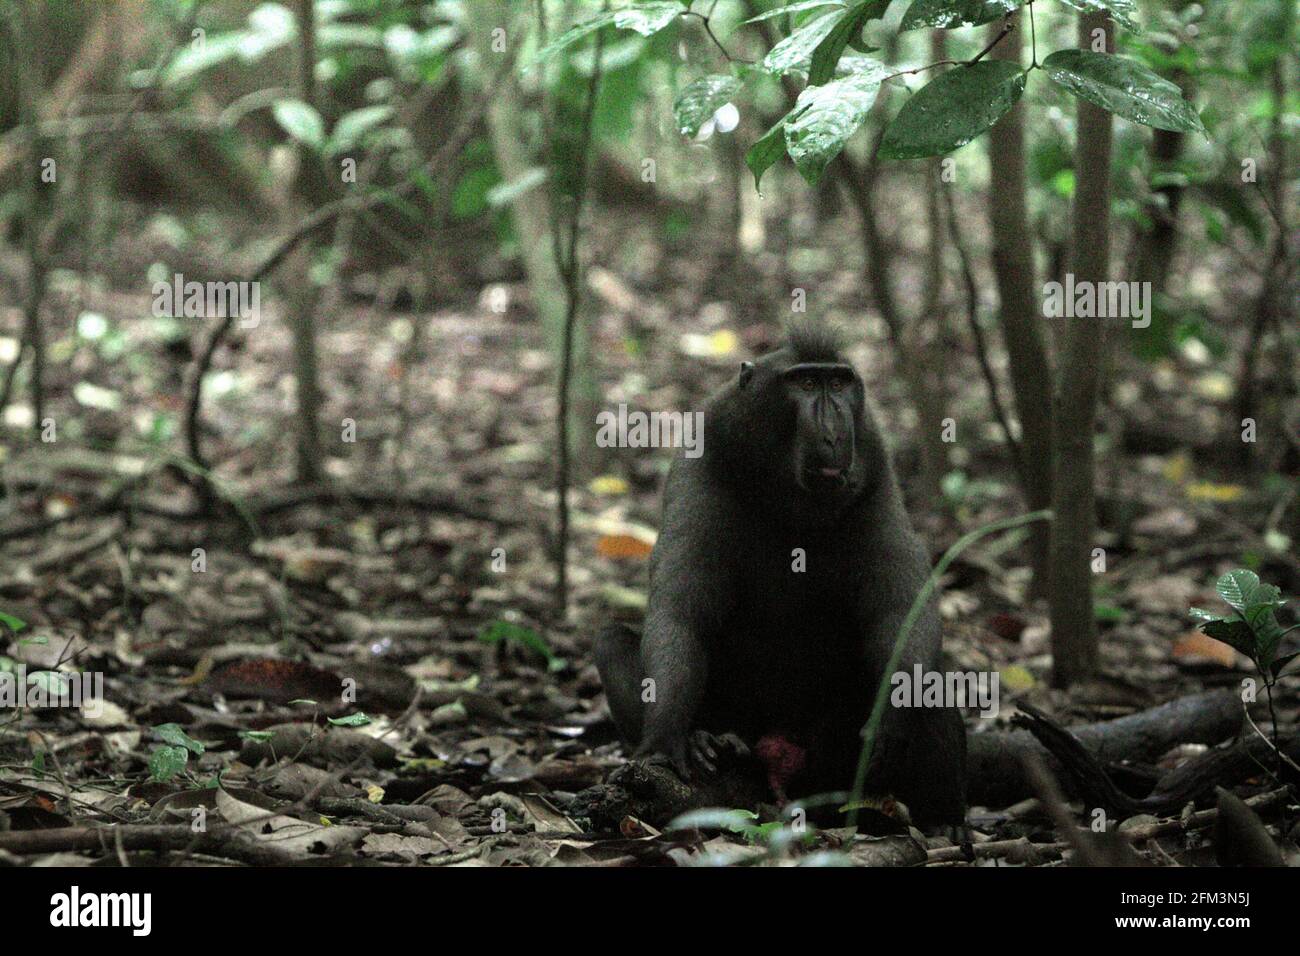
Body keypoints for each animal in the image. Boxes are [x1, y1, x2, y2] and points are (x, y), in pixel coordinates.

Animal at [594, 325, 966, 827]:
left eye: (839, 383)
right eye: (805, 384)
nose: (833, 429)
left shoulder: (874, 471)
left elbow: (903, 612)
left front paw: (889, 721)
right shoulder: (703, 463)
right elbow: (681, 614)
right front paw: (667, 737)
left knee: (931, 683)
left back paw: (944, 820)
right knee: (611, 639)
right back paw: (716, 740)